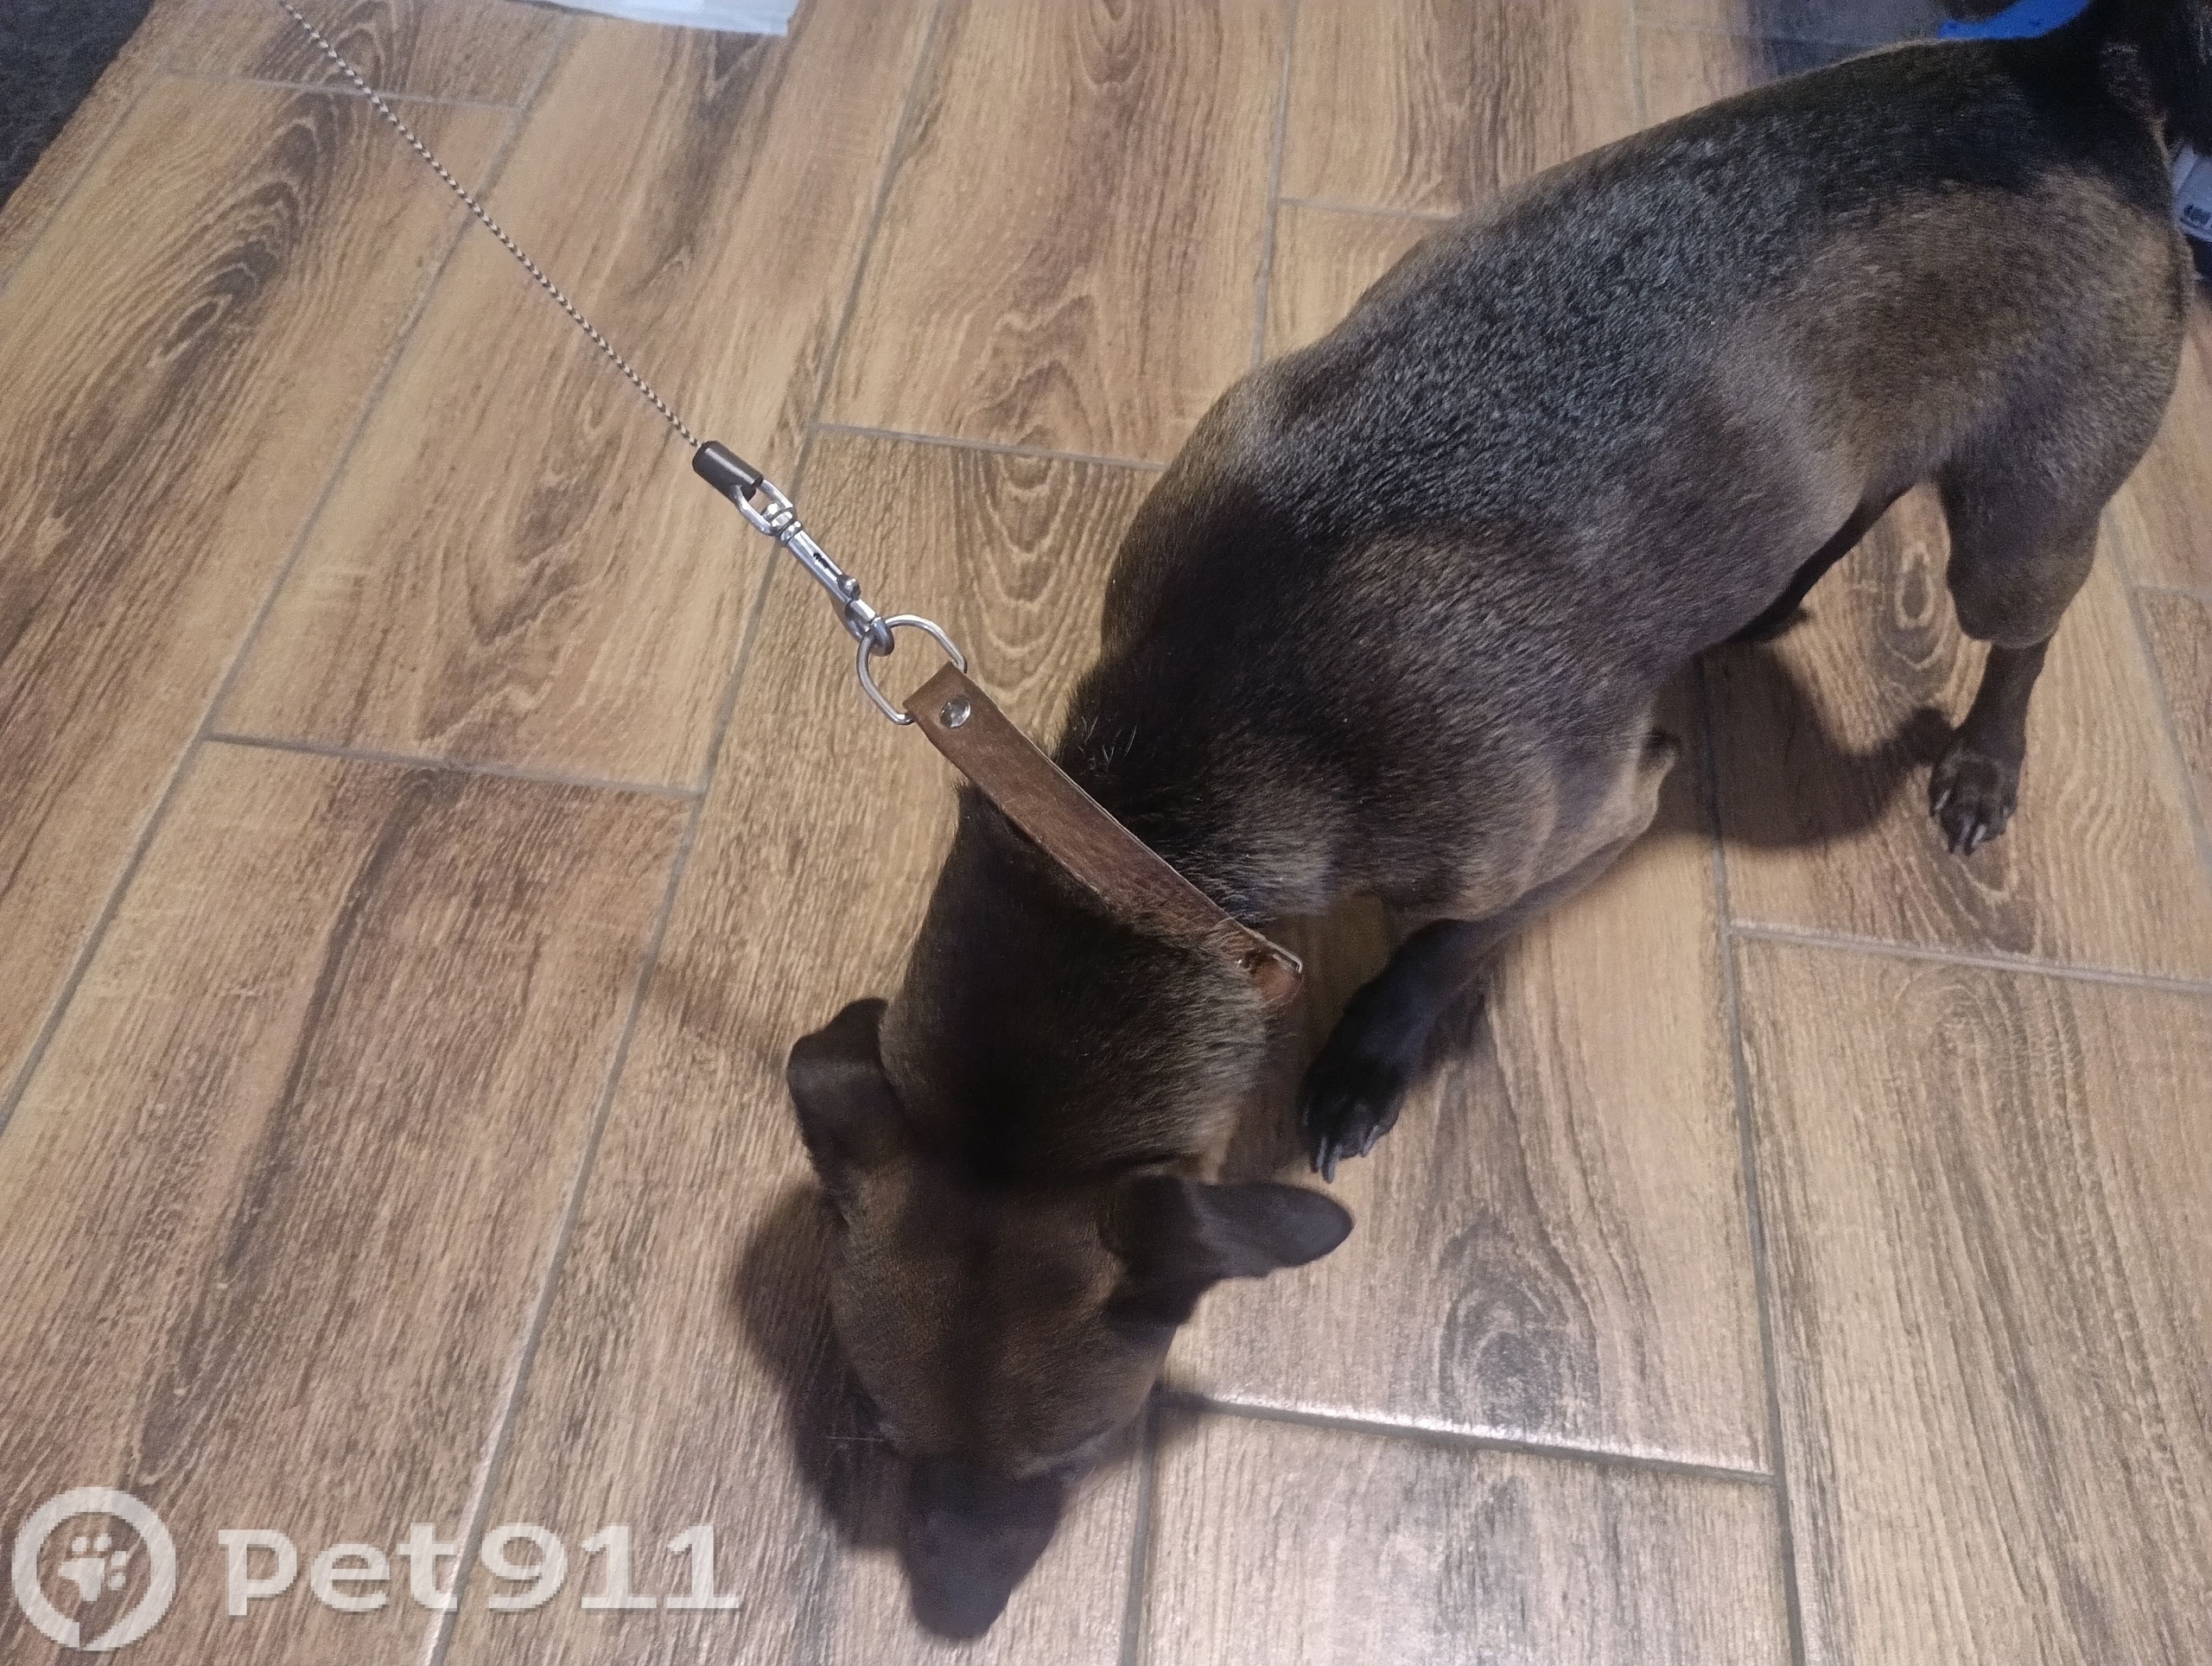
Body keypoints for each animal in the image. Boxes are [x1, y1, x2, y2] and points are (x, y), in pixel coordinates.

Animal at [784, 0, 2208, 1635]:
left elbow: (1439, 952)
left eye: (1079, 1451)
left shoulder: (1586, 823)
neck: (1168, 807)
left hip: (2018, 529)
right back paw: (1771, 594)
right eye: (879, 1429)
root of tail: (2073, 70)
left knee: (2023, 634)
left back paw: (1983, 764)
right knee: (1845, 505)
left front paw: (1361, 1067)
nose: (951, 1615)